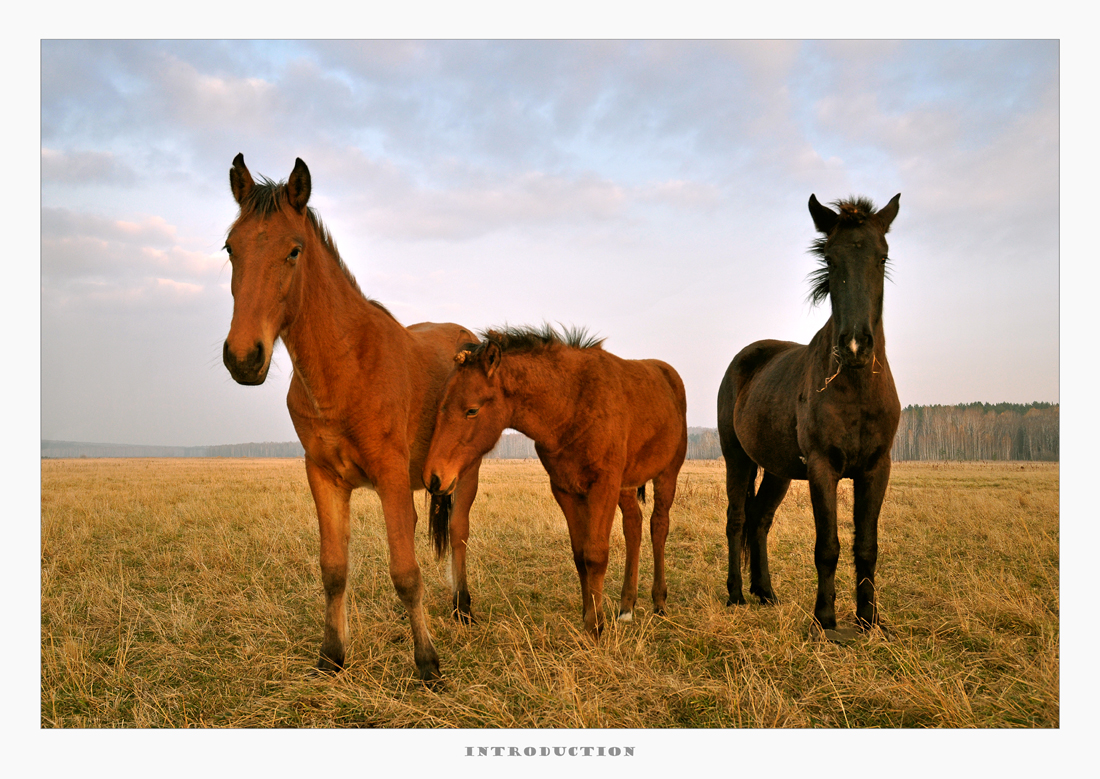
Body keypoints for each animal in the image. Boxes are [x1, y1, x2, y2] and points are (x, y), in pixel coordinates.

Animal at [222, 156, 481, 682]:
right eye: (230, 247)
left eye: (294, 250)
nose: (243, 358)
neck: (345, 369)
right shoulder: (324, 476)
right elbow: (334, 569)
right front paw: (331, 656)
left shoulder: (390, 476)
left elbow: (405, 572)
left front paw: (429, 664)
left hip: (466, 472)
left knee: (460, 532)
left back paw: (462, 607)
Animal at [422, 325, 686, 638]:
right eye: (440, 405)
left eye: (471, 410)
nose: (434, 477)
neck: (571, 405)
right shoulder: (565, 488)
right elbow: (580, 555)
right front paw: (588, 617)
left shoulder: (603, 485)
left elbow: (596, 554)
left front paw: (596, 626)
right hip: (627, 484)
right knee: (633, 525)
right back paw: (626, 608)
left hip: (667, 473)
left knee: (659, 525)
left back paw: (659, 602)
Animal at [721, 191, 902, 638]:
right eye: (830, 259)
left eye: (882, 257)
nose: (855, 346)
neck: (855, 388)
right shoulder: (823, 468)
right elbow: (828, 546)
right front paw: (825, 621)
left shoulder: (877, 469)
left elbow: (866, 545)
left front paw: (869, 621)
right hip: (738, 458)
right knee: (737, 519)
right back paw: (735, 595)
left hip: (778, 470)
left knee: (760, 519)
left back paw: (765, 593)